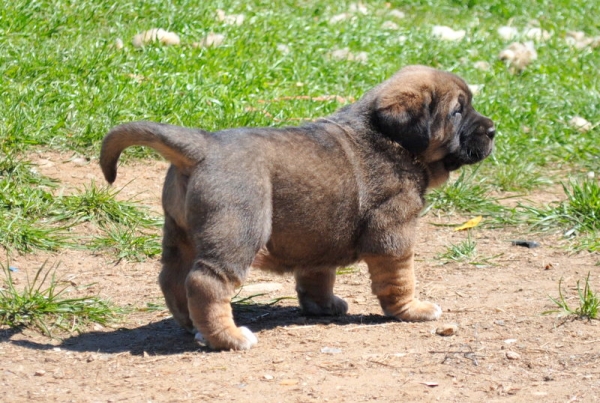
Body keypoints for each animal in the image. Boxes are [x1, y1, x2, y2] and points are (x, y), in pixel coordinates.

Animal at [101, 65, 494, 350]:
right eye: (457, 112)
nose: (493, 130)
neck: (391, 138)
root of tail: (203, 146)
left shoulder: (319, 234)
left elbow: (317, 275)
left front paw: (324, 306)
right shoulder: (393, 234)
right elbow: (400, 279)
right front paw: (412, 310)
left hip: (178, 233)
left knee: (171, 277)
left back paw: (189, 325)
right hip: (238, 231)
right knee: (205, 282)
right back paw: (228, 338)